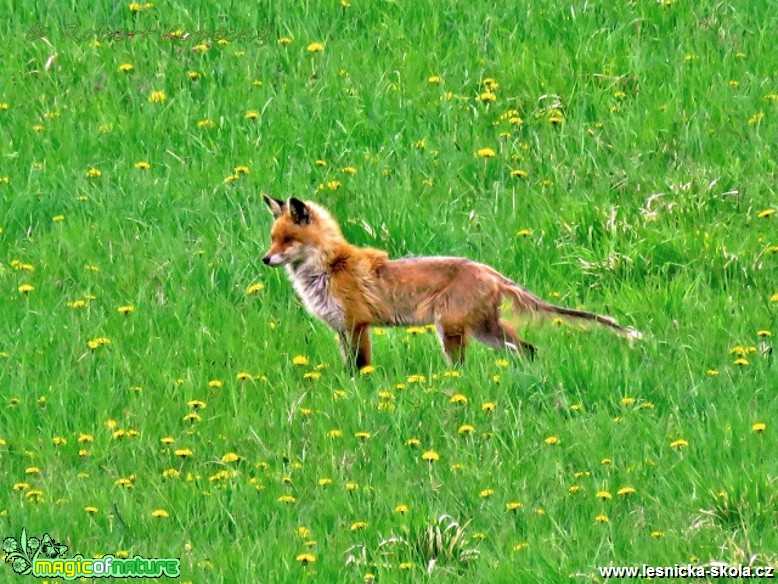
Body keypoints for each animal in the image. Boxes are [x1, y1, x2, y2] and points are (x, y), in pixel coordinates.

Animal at [264, 196, 640, 370]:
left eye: (287, 240)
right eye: (272, 239)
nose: (265, 259)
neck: (328, 268)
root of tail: (489, 270)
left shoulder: (358, 325)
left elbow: (362, 367)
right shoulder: (342, 329)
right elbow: (349, 368)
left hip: (451, 329)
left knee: (466, 365)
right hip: (486, 330)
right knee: (528, 349)